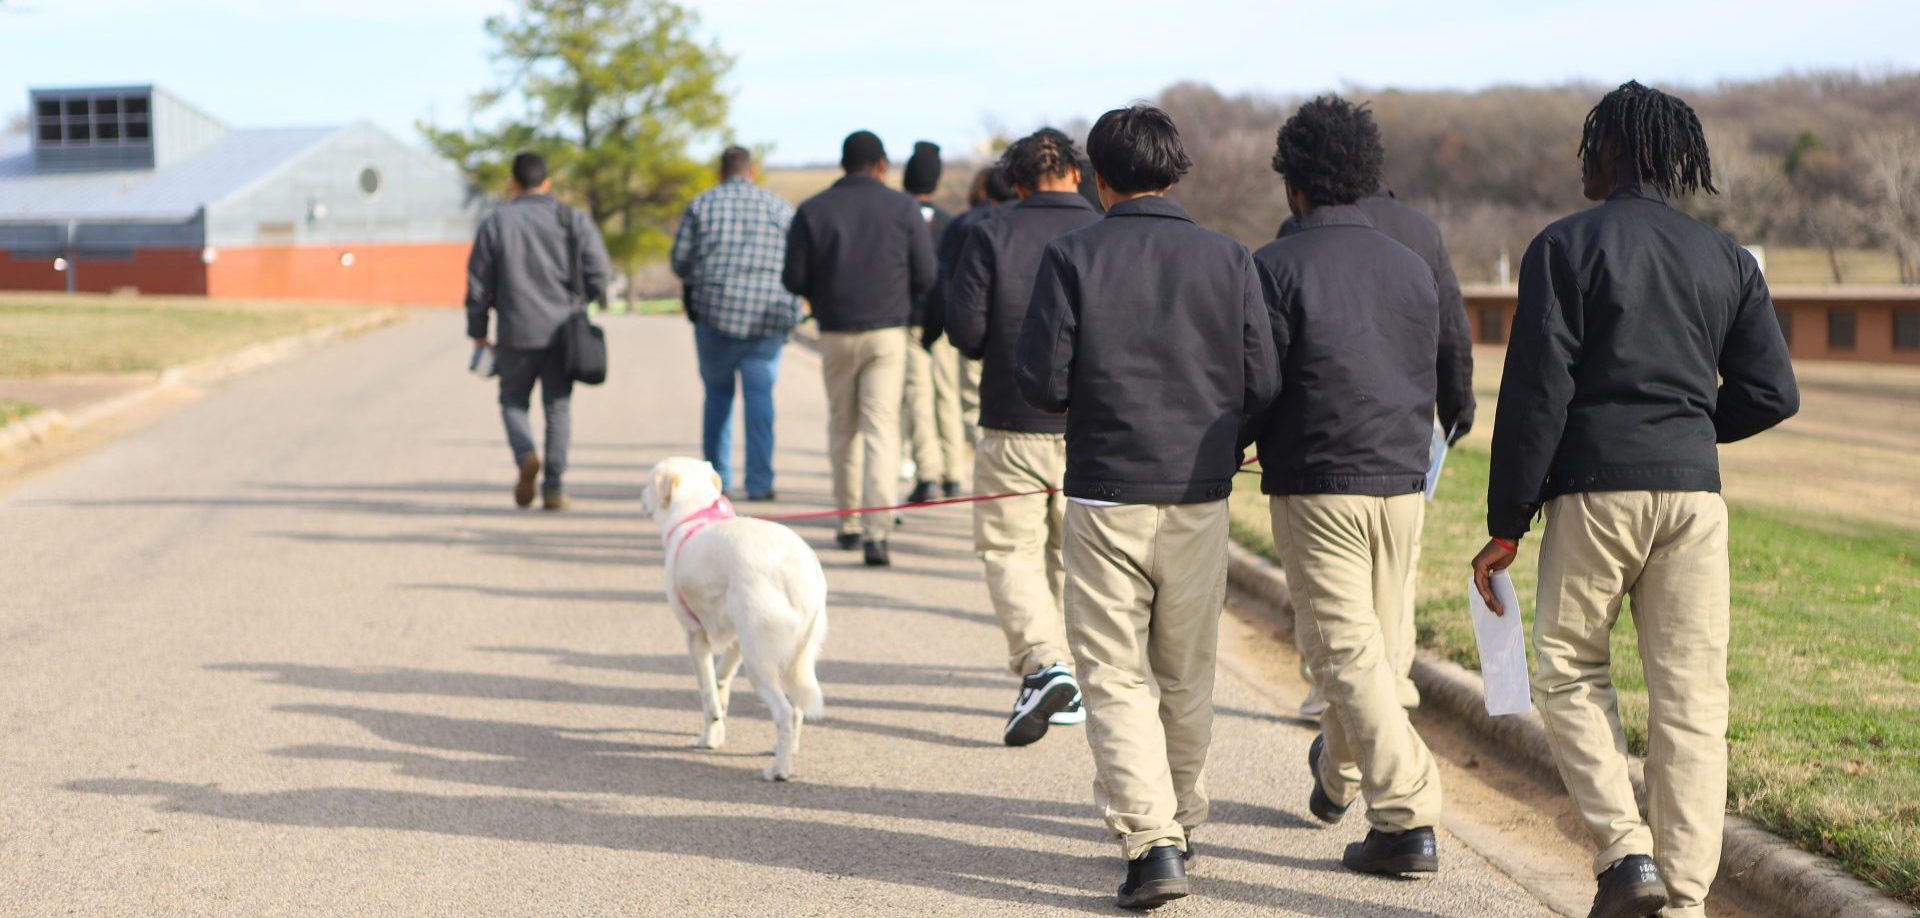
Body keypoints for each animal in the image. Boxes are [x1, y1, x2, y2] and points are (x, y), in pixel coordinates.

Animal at [645, 455, 825, 779]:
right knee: (797, 709)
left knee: (784, 711)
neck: (695, 514)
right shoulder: (737, 642)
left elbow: (707, 694)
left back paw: (778, 770)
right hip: (793, 657)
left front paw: (709, 736)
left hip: (760, 663)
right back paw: (789, 751)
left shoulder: (694, 635)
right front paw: (716, 730)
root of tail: (797, 566)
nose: (641, 497)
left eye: (648, 480)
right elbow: (720, 682)